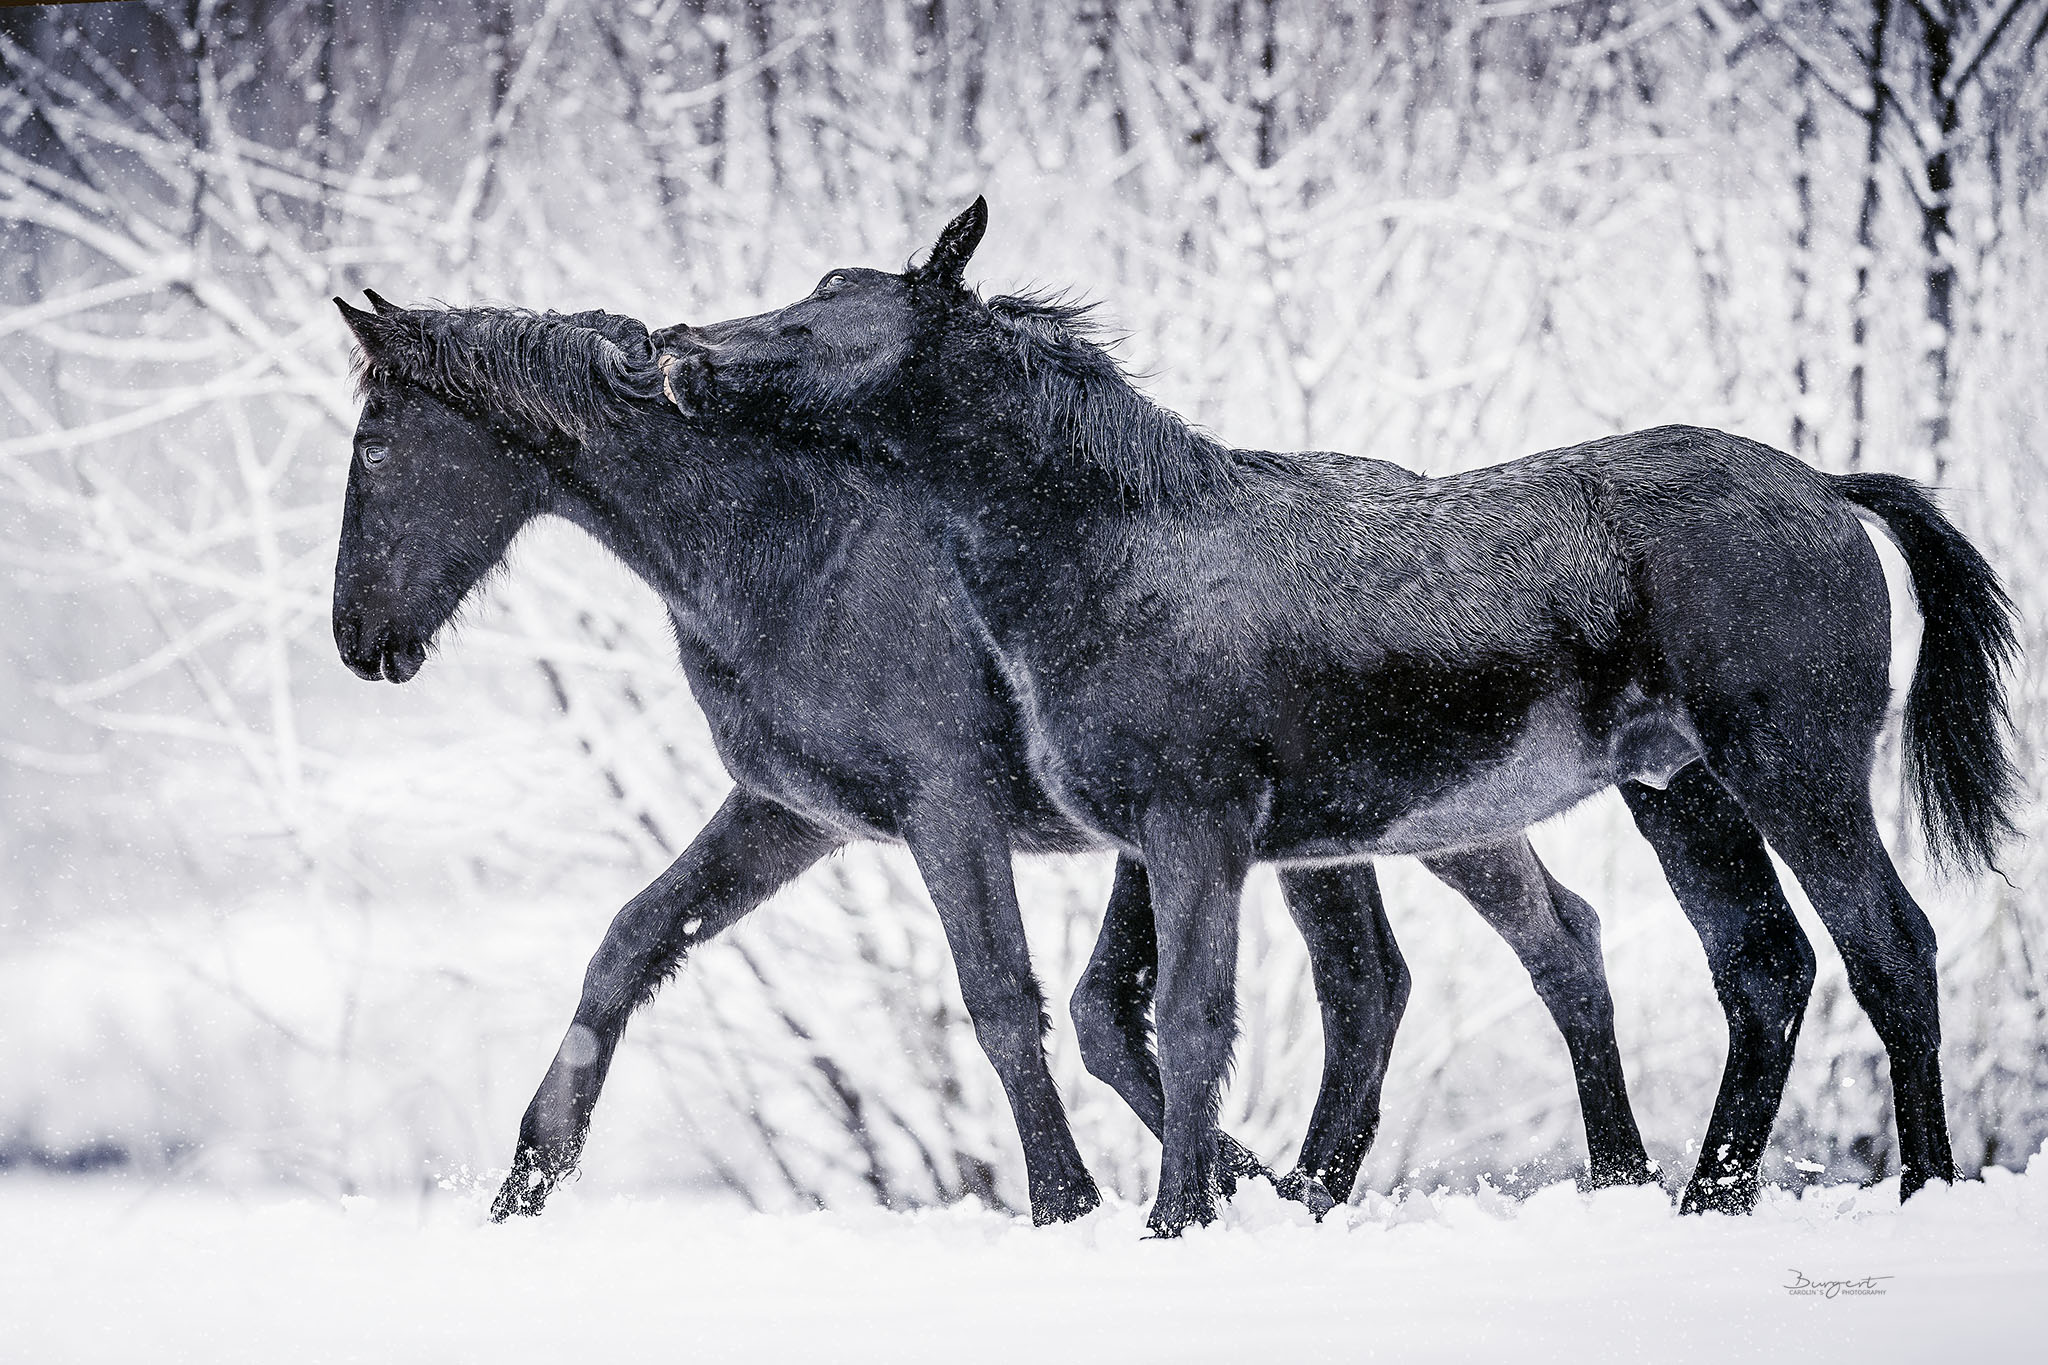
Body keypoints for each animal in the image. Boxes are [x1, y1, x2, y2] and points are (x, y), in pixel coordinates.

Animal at [323, 290, 1662, 1227]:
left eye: (375, 445)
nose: (355, 641)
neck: (791, 548)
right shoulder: (788, 815)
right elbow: (629, 947)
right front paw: (525, 1185)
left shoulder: (946, 809)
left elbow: (1003, 1000)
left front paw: (1068, 1200)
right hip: (1346, 837)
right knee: (1408, 977)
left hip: (1430, 821)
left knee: (1534, 947)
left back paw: (1592, 1174)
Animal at [655, 194, 2015, 1236]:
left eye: (827, 299)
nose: (675, 345)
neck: (1118, 551)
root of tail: (1825, 486)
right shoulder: (1178, 840)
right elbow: (1153, 1019)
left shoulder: (1195, 826)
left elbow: (1190, 1022)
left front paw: (1175, 1222)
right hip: (1681, 793)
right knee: (1760, 968)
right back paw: (1701, 1199)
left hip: (1793, 769)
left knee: (1887, 946)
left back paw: (1923, 1188)